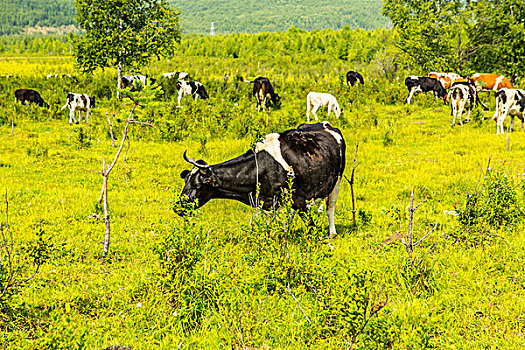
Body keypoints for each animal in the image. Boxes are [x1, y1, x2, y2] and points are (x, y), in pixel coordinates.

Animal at [178, 121, 346, 239]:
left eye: (197, 185)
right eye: (186, 182)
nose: (177, 207)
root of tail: (325, 124)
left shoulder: (298, 198)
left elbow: (311, 226)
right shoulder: (265, 203)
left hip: (337, 180)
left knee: (330, 207)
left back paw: (332, 233)